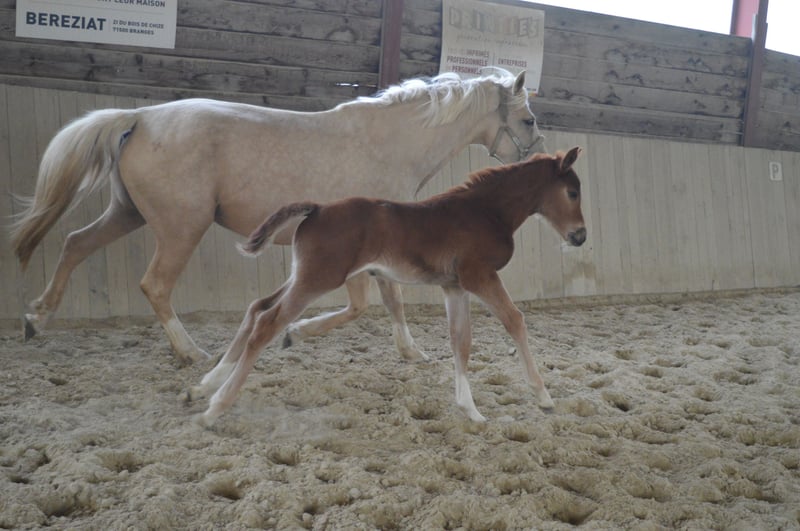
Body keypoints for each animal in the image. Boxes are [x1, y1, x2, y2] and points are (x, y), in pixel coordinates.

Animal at [8, 71, 544, 365]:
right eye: (529, 119)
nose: (540, 156)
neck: (388, 143)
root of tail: (138, 117)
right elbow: (364, 305)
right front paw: (294, 334)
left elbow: (388, 302)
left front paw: (409, 351)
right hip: (181, 227)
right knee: (154, 285)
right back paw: (190, 352)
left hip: (128, 213)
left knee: (75, 243)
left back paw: (36, 318)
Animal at [187, 147, 586, 426]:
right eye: (572, 192)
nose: (580, 237)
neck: (486, 211)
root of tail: (317, 208)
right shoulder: (480, 276)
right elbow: (515, 320)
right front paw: (543, 396)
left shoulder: (454, 286)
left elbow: (461, 340)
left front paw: (470, 409)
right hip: (317, 278)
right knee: (266, 323)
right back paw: (216, 407)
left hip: (305, 275)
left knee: (259, 308)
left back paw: (207, 384)